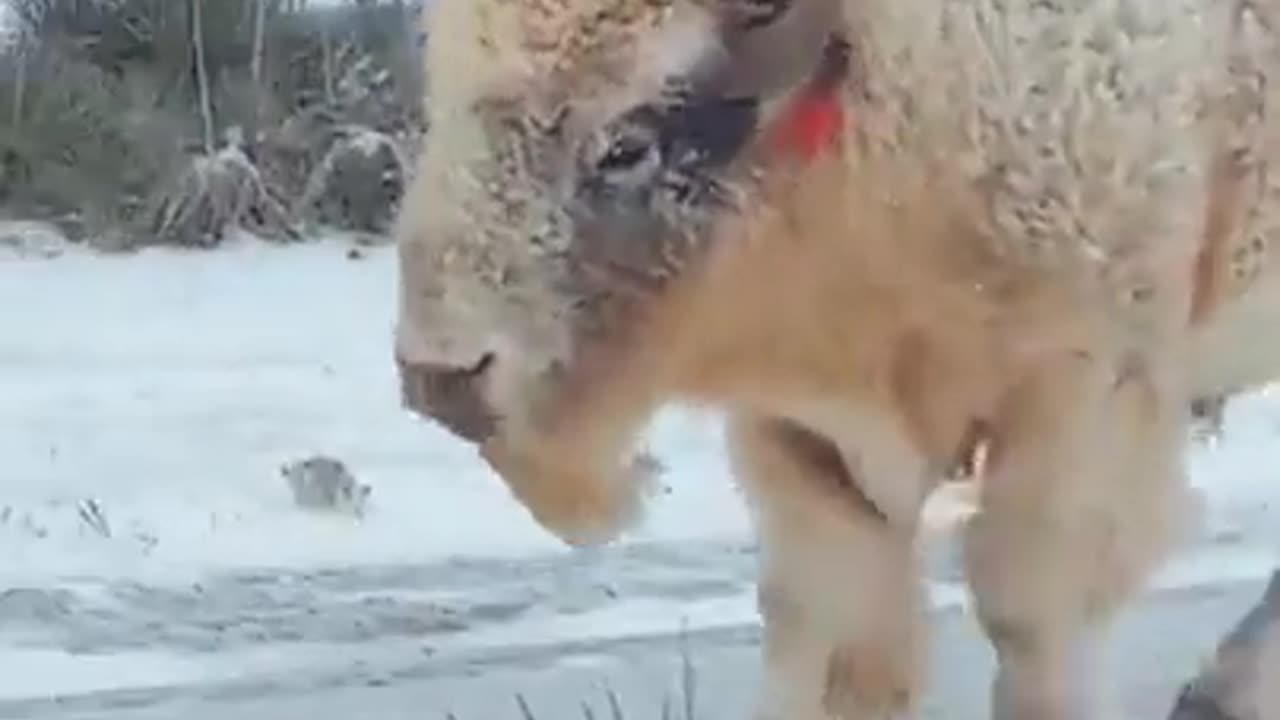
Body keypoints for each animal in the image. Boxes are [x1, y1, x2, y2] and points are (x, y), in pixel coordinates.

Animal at [389, 1, 1280, 717]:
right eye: (441, 97)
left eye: (625, 144)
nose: (443, 375)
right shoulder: (800, 432)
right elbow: (835, 626)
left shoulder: (1081, 387)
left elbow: (1029, 615)